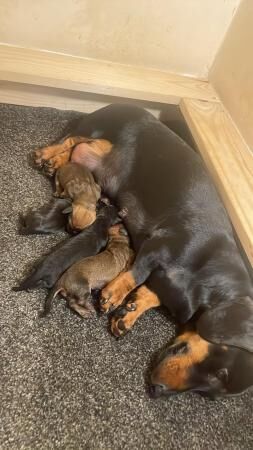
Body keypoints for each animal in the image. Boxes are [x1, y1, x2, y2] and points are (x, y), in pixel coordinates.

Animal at [34, 103, 252, 398]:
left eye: (210, 393)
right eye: (221, 372)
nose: (157, 391)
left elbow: (152, 293)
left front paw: (129, 314)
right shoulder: (158, 244)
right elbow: (137, 272)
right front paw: (113, 295)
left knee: (78, 147)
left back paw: (57, 163)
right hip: (101, 126)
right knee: (72, 138)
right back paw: (47, 156)